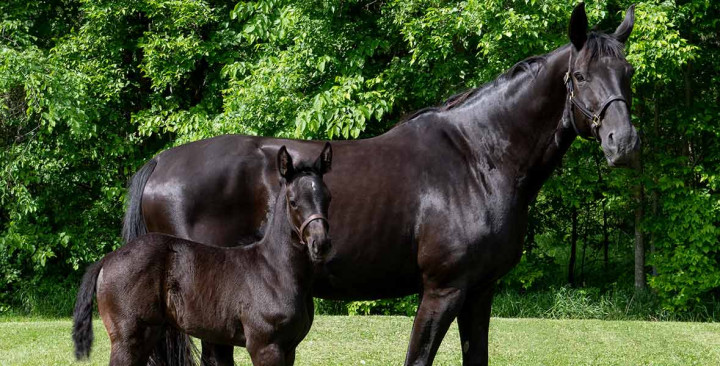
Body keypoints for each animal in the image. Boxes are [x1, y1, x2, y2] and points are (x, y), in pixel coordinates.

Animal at [73, 144, 332, 366]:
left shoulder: (289, 348)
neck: (276, 270)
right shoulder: (266, 346)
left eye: (328, 198)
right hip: (128, 339)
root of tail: (105, 261)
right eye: (293, 201)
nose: (321, 244)